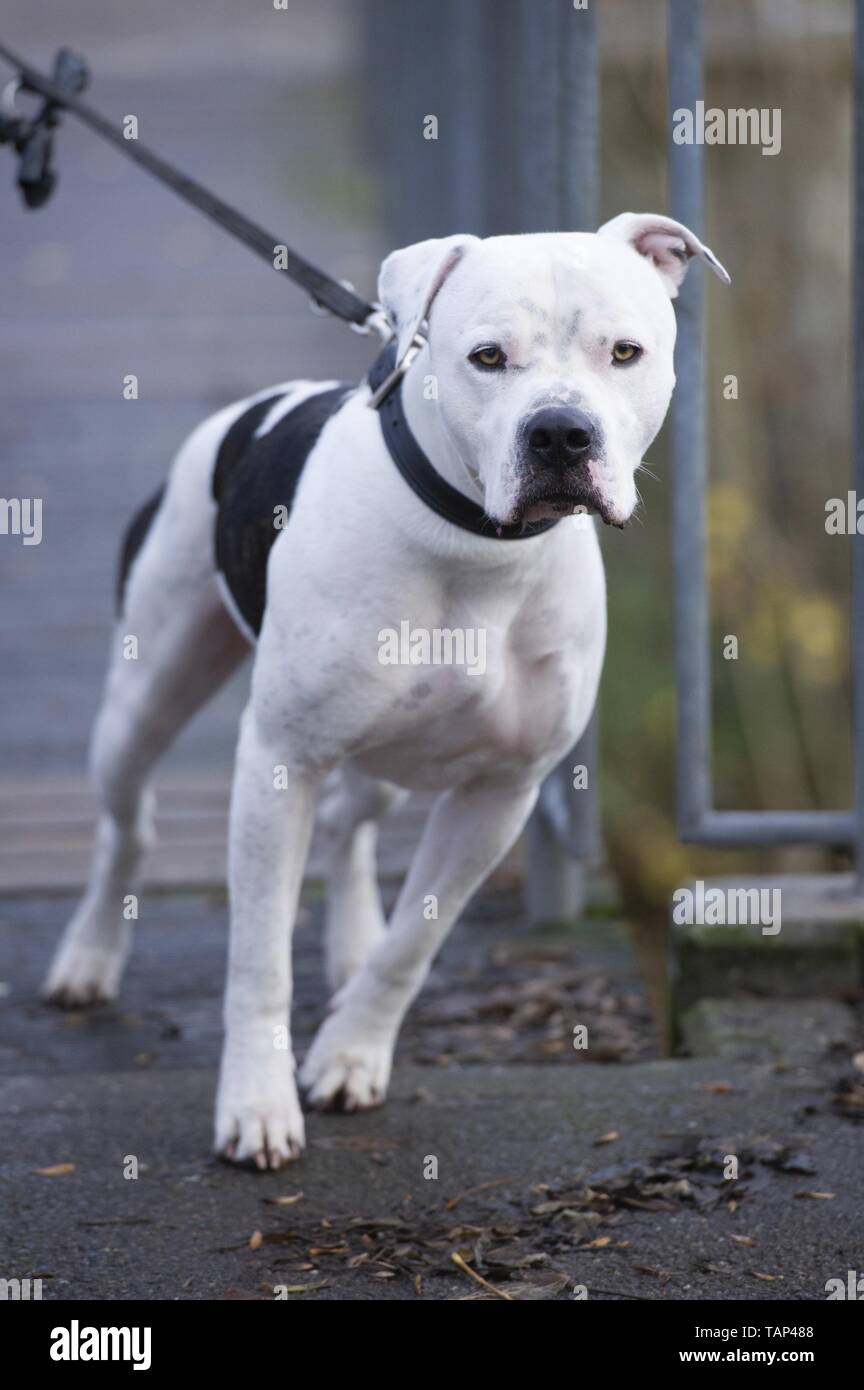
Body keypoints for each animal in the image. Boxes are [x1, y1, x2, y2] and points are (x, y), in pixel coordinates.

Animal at [44, 214, 727, 1162]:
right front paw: (257, 1104)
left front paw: (351, 1052)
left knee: (350, 824)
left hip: (389, 757)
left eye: (625, 352)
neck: (477, 545)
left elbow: (415, 940)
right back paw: (88, 957)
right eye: (487, 357)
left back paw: (349, 944)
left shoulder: (501, 793)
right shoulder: (279, 764)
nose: (560, 432)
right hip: (144, 699)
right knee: (129, 825)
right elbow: (257, 959)